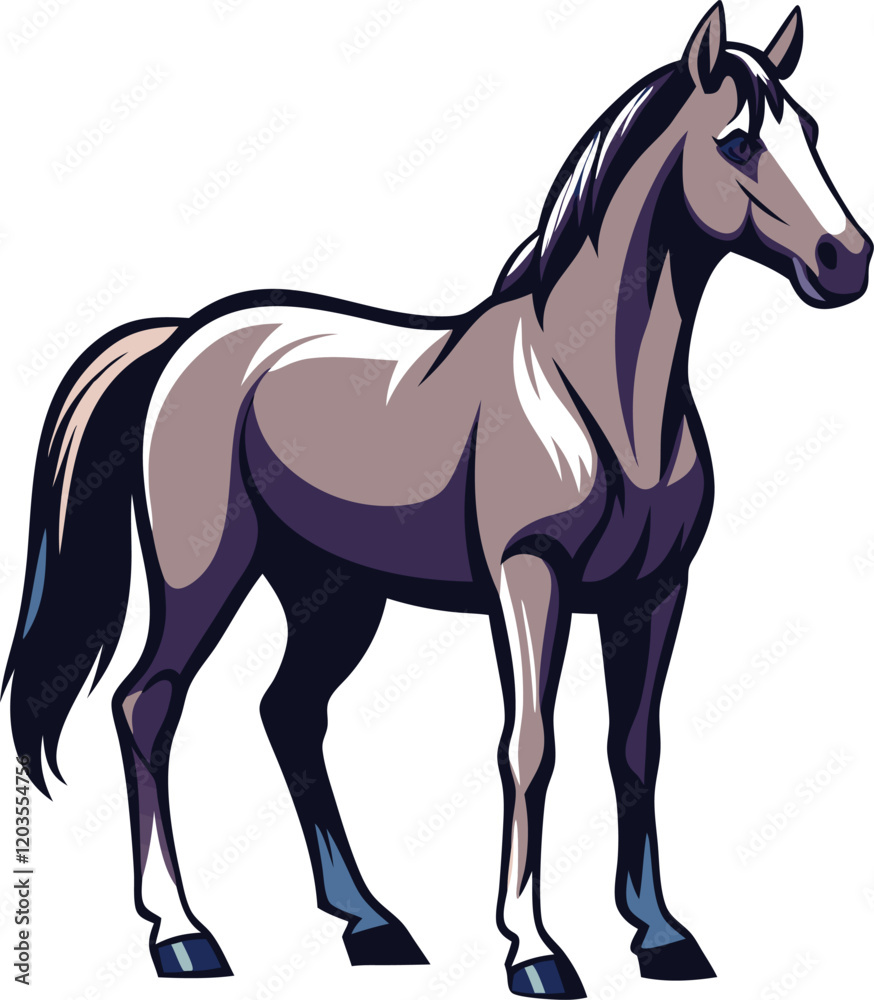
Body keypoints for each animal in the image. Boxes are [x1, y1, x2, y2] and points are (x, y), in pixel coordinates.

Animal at [3, 3, 869, 996]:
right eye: (736, 142)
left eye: (812, 131)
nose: (847, 263)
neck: (591, 391)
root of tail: (183, 337)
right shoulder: (531, 581)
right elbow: (530, 747)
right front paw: (535, 949)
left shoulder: (656, 594)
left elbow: (634, 751)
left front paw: (661, 935)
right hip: (206, 578)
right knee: (147, 705)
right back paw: (183, 935)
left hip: (335, 596)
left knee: (288, 714)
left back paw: (371, 923)